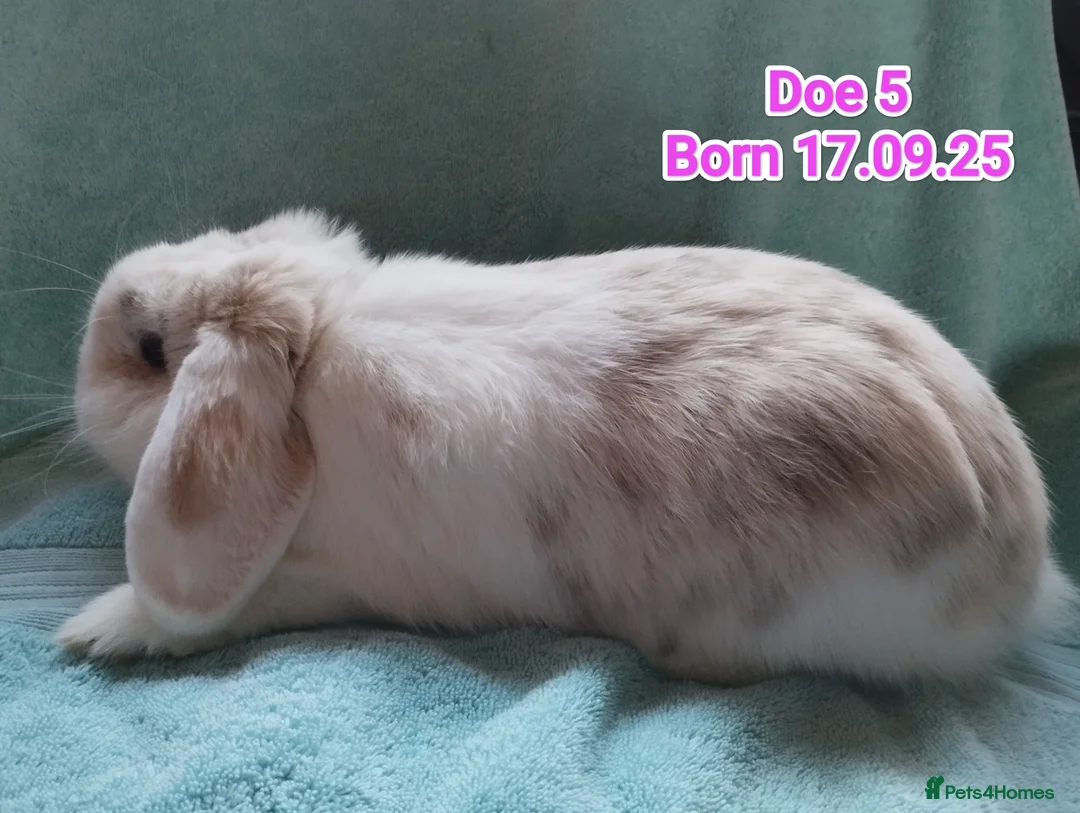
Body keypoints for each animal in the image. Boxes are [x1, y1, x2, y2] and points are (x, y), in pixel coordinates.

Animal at [55, 208, 1077, 685]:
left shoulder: (350, 576)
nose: (100, 302)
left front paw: (101, 628)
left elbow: (231, 606)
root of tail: (1018, 573)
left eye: (149, 351)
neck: (317, 353)